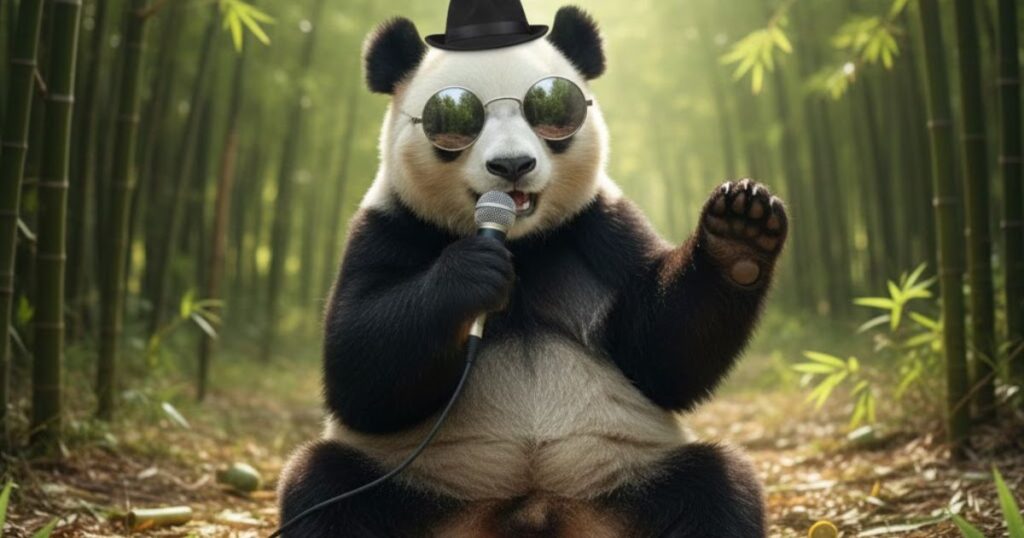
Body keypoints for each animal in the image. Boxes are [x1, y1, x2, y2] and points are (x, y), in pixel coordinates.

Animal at [279, 5, 787, 537]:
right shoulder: (388, 226)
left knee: (717, 488)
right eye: (455, 118)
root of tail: (535, 512)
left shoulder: (601, 226)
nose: (512, 165)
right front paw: (471, 274)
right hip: (414, 482)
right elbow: (358, 370)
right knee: (326, 489)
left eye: (550, 112)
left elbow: (662, 356)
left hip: (631, 476)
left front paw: (740, 231)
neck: (521, 244)